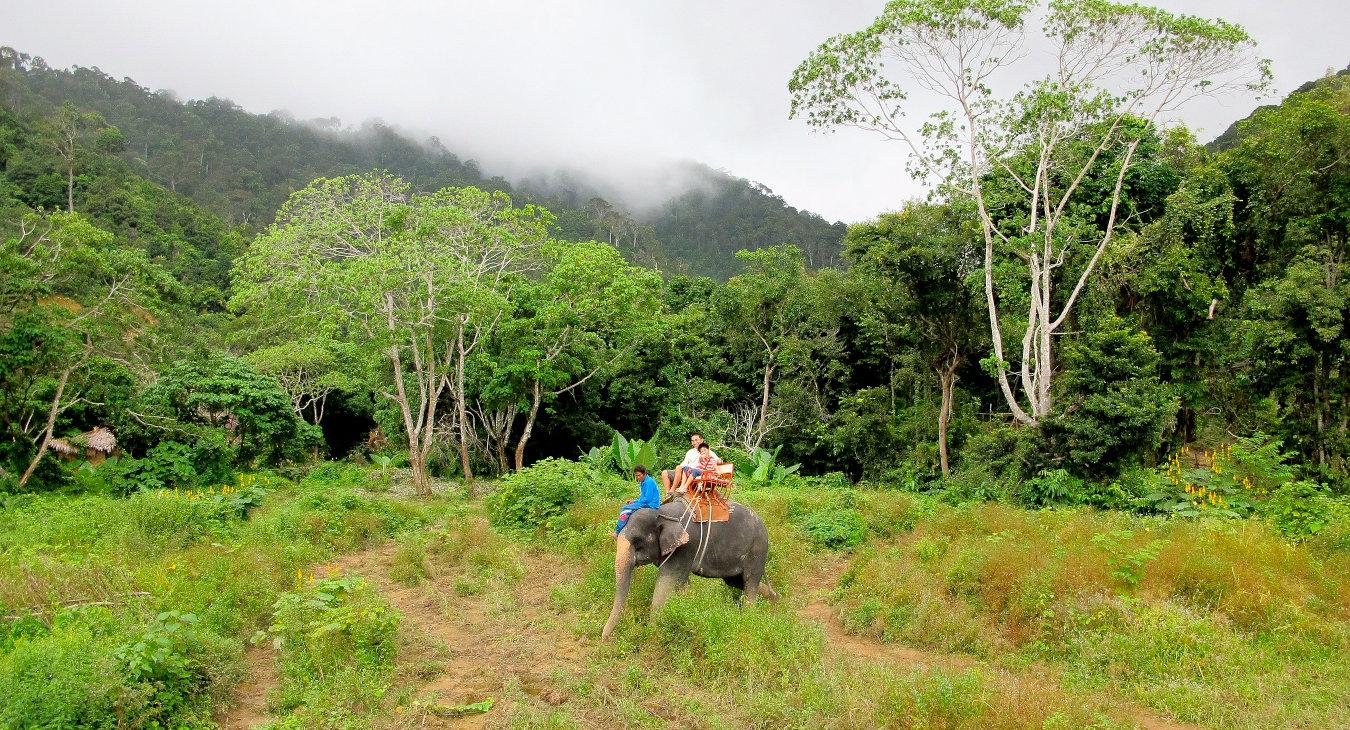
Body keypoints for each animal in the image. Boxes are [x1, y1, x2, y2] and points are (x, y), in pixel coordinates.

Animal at [602, 498, 776, 639]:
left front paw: (652, 632)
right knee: (737, 582)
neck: (663, 513)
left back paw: (748, 618)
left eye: (637, 542)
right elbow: (681, 583)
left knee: (749, 581)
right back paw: (775, 601)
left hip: (758, 549)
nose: (605, 638)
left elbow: (666, 581)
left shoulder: (686, 547)